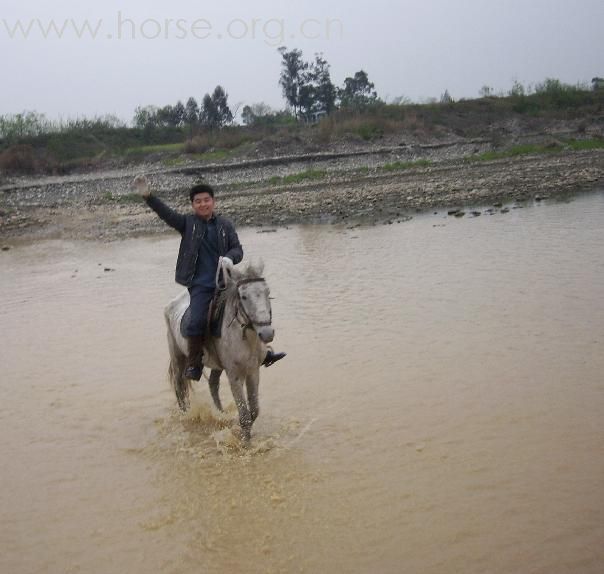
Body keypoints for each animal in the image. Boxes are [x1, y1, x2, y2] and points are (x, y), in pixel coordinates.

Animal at [163, 264, 272, 444]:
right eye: (244, 296)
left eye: (267, 292)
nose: (267, 333)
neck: (244, 337)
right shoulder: (234, 375)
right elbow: (245, 415)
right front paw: (245, 444)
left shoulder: (253, 371)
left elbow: (254, 410)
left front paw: (244, 435)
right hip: (178, 357)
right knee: (180, 388)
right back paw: (185, 414)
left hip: (217, 365)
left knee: (213, 384)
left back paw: (221, 414)